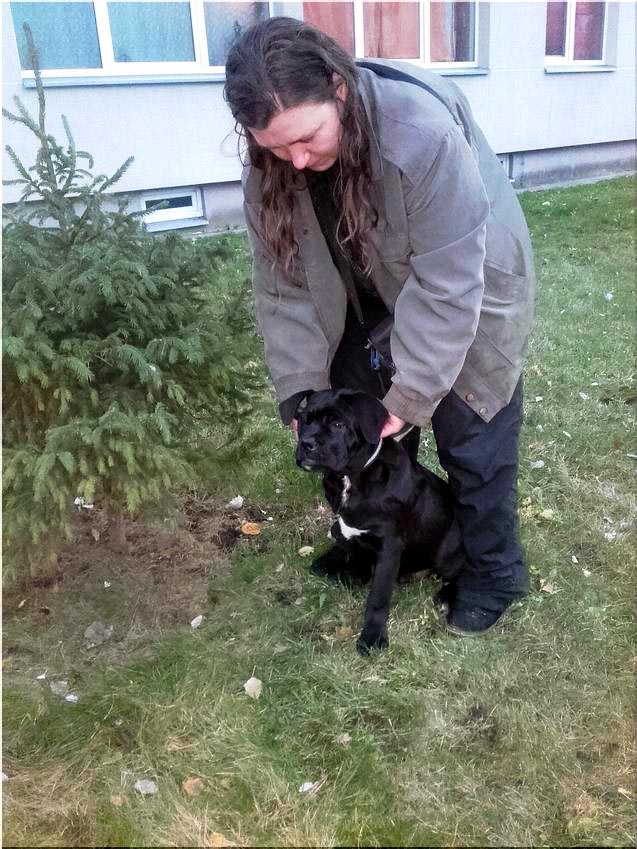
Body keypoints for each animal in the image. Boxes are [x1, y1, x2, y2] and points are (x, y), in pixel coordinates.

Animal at [295, 389, 467, 655]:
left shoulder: (389, 547)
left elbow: (378, 597)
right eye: (305, 420)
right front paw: (340, 565)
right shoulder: (347, 527)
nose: (306, 444)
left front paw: (373, 636)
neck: (352, 477)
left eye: (338, 424)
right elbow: (347, 544)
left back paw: (446, 596)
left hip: (446, 552)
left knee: (461, 571)